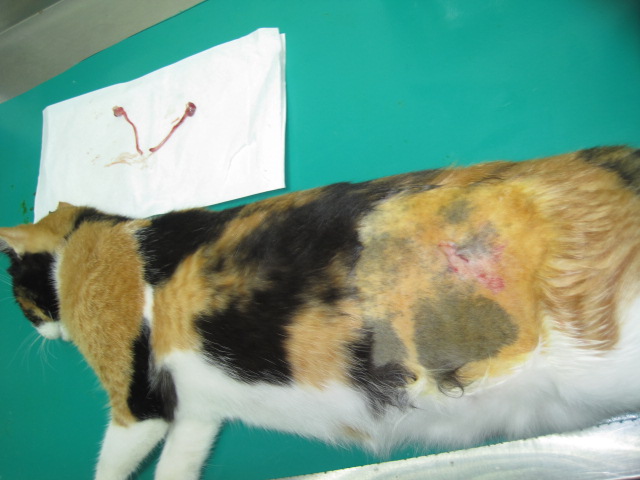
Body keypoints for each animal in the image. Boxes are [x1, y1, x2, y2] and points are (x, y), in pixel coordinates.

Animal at [1, 146, 640, 480]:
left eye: (17, 298)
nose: (39, 329)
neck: (95, 235)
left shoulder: (136, 398)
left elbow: (114, 459)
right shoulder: (196, 413)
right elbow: (177, 463)